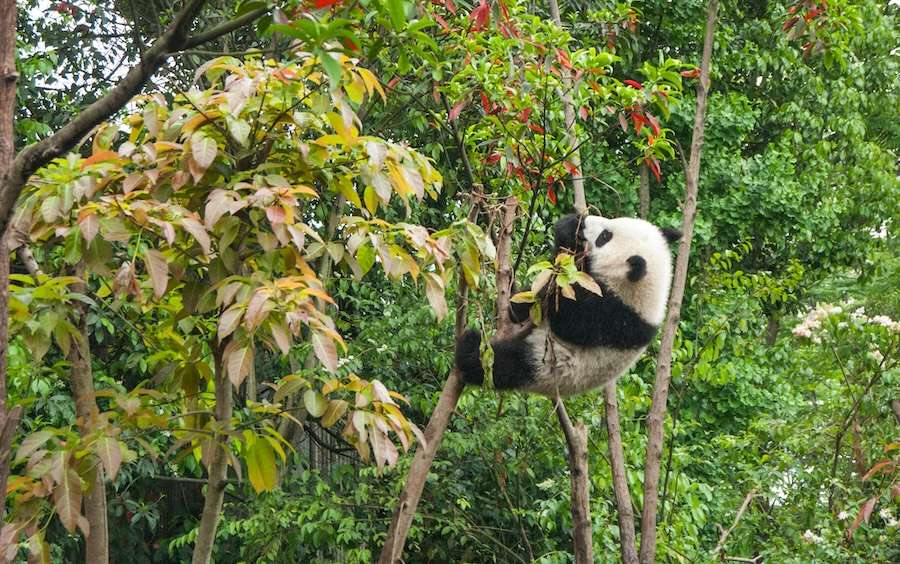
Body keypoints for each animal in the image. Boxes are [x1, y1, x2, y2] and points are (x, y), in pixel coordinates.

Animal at [455, 213, 681, 397]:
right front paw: (569, 226)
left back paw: (470, 348)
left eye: (605, 237)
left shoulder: (615, 318)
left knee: (503, 364)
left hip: (547, 365)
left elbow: (568, 320)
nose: (586, 220)